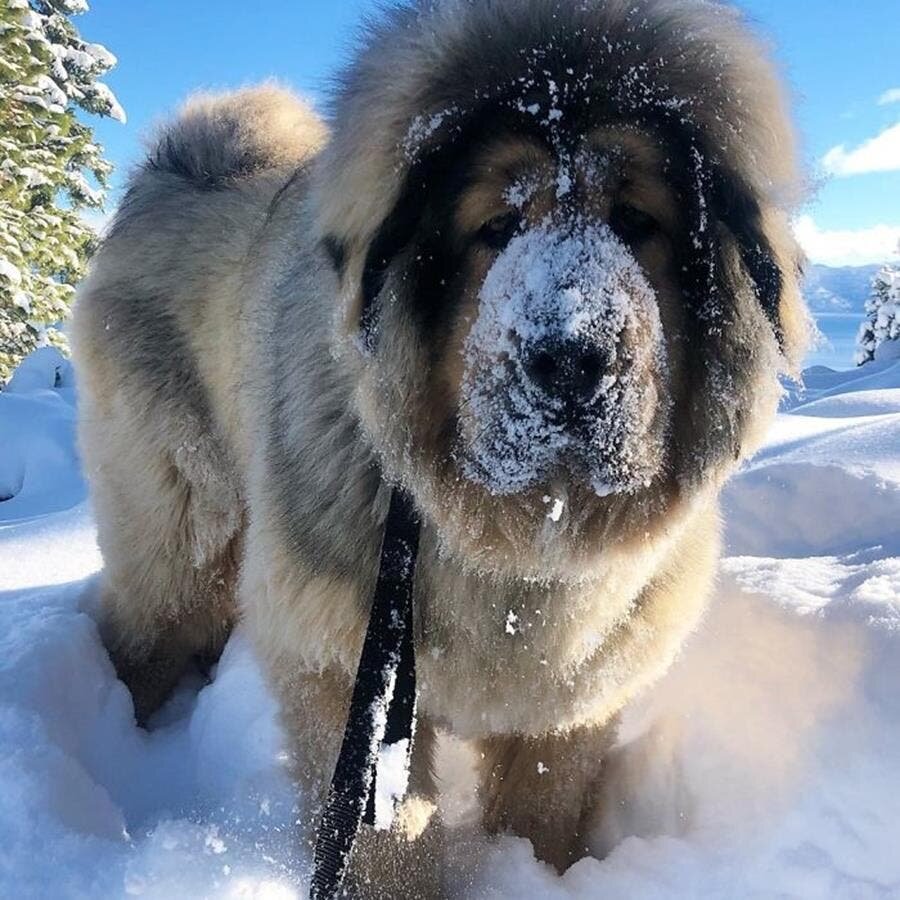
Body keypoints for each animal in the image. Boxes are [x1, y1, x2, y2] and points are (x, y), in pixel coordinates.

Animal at [74, 0, 804, 892]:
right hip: (182, 517)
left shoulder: (573, 698)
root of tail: (179, 165)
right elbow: (385, 840)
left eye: (637, 222)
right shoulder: (347, 669)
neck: (516, 537)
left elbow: (543, 808)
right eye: (496, 226)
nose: (569, 357)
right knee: (148, 623)